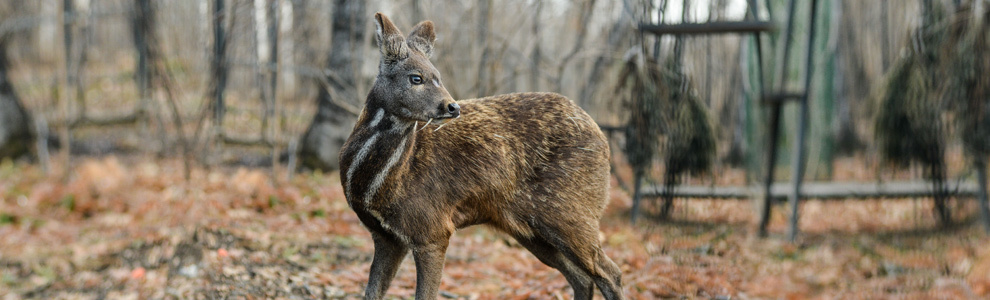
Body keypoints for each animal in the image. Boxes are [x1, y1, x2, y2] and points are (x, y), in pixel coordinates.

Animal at [338, 12, 624, 298]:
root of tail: (602, 138)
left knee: (611, 273)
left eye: (438, 76)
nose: (452, 107)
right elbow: (372, 292)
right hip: (530, 230)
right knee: (583, 277)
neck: (378, 184)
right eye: (416, 77)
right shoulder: (386, 237)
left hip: (571, 212)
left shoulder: (432, 229)